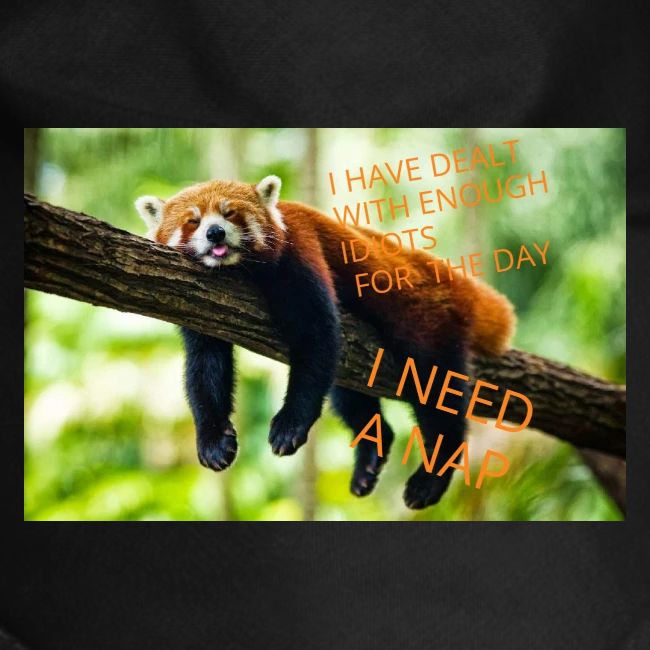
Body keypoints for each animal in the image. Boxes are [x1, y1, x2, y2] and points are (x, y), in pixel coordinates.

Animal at [135, 175, 515, 509]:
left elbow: (316, 337)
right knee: (348, 394)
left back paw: (431, 477)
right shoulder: (200, 304)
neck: (238, 270)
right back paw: (370, 457)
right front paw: (213, 441)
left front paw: (290, 425)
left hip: (427, 322)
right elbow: (205, 367)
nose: (215, 232)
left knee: (436, 391)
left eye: (230, 214)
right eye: (193, 221)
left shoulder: (300, 252)